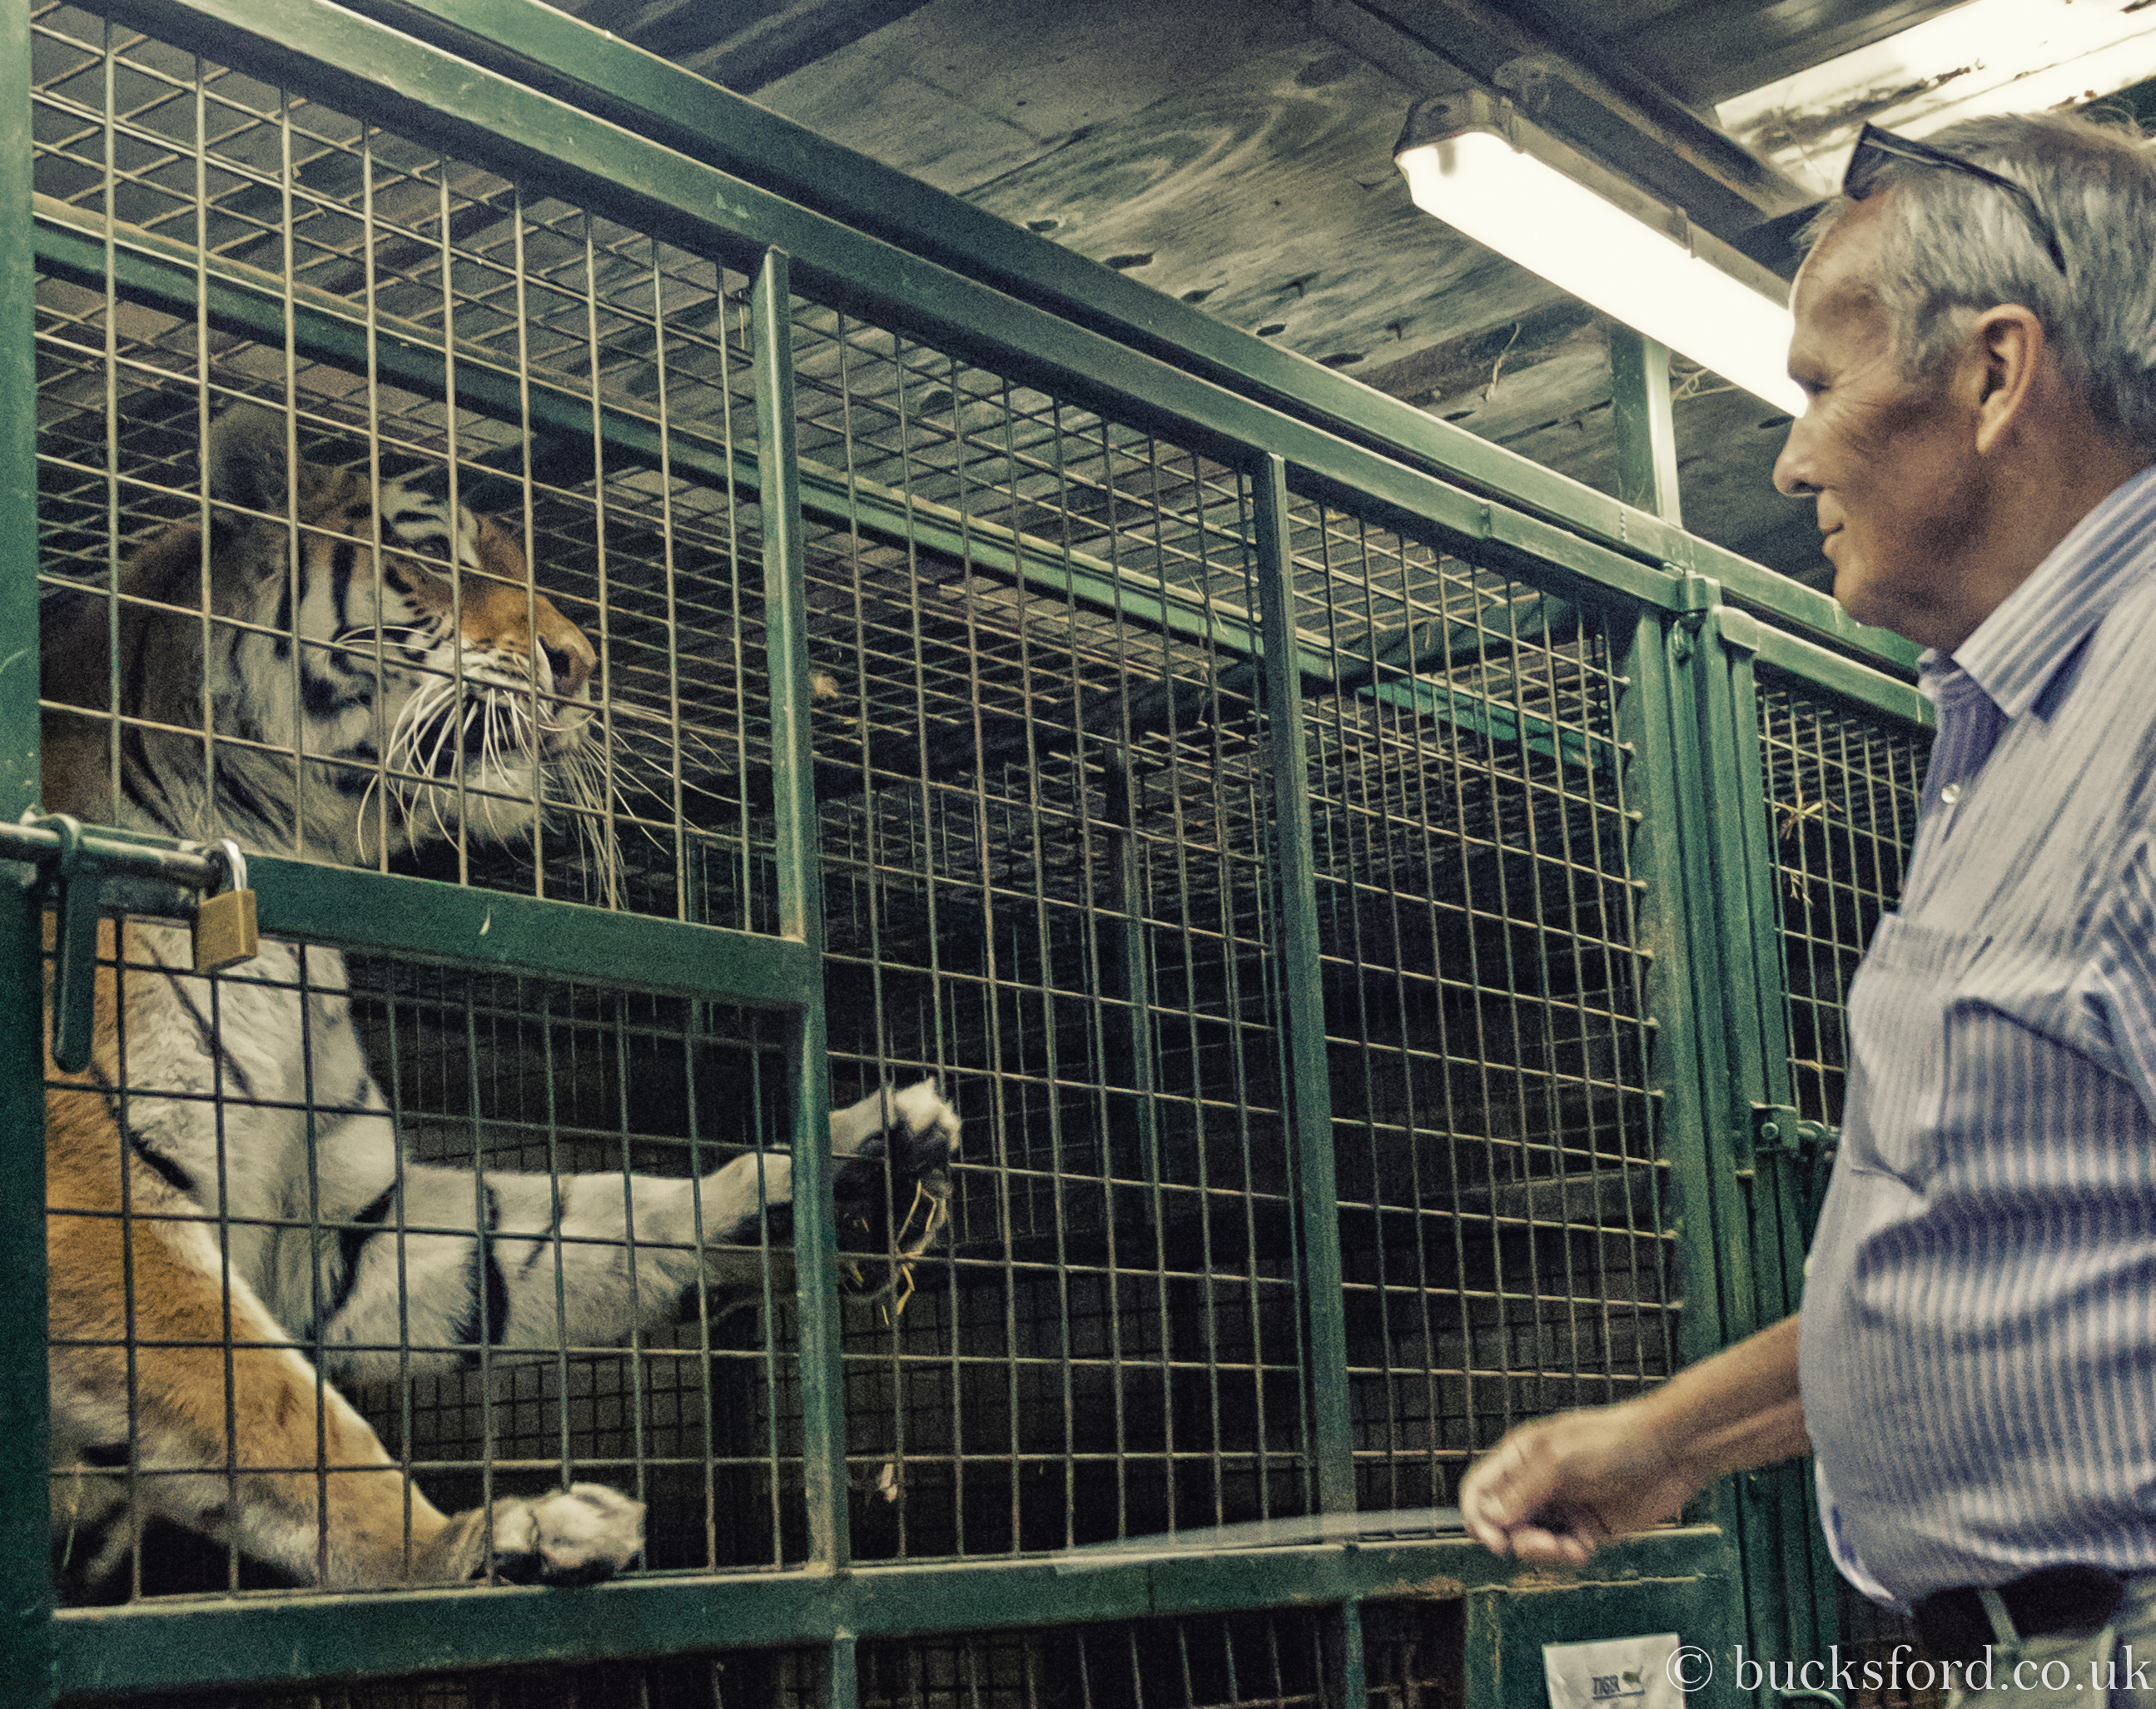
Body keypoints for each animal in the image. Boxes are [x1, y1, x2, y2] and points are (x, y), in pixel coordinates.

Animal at [38, 404, 960, 1592]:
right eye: (437, 555)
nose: (580, 665)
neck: (295, 855)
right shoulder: (90, 1191)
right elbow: (275, 1408)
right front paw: (464, 1544)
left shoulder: (337, 1224)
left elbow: (584, 1225)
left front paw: (847, 1168)